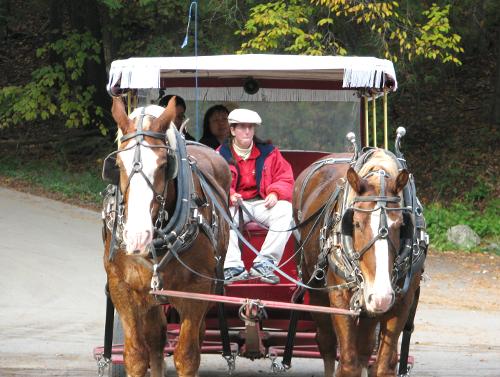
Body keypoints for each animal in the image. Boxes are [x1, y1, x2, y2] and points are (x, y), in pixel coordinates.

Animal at [103, 95, 232, 374]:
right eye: (117, 164)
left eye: (164, 165)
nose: (137, 237)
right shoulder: (122, 289)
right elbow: (136, 355)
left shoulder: (196, 291)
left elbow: (187, 356)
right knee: (156, 338)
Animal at [292, 148, 426, 376]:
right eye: (355, 223)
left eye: (401, 225)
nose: (381, 295)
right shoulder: (339, 298)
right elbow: (348, 363)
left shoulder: (401, 302)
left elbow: (382, 365)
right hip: (317, 290)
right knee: (326, 343)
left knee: (365, 349)